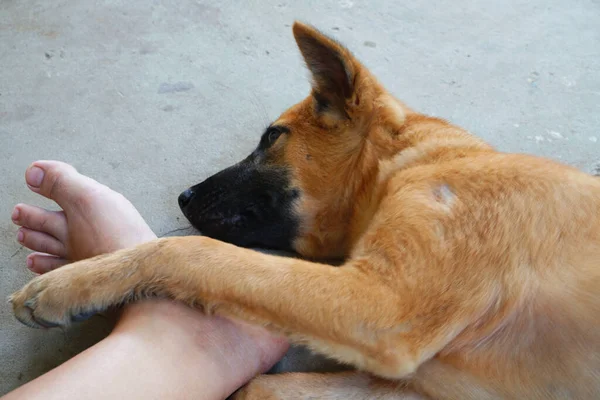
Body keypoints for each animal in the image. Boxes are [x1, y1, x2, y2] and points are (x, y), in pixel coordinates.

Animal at [9, 23, 600, 398]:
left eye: (272, 137)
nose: (183, 197)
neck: (420, 161)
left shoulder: (384, 306)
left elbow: (190, 251)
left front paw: (70, 285)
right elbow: (263, 388)